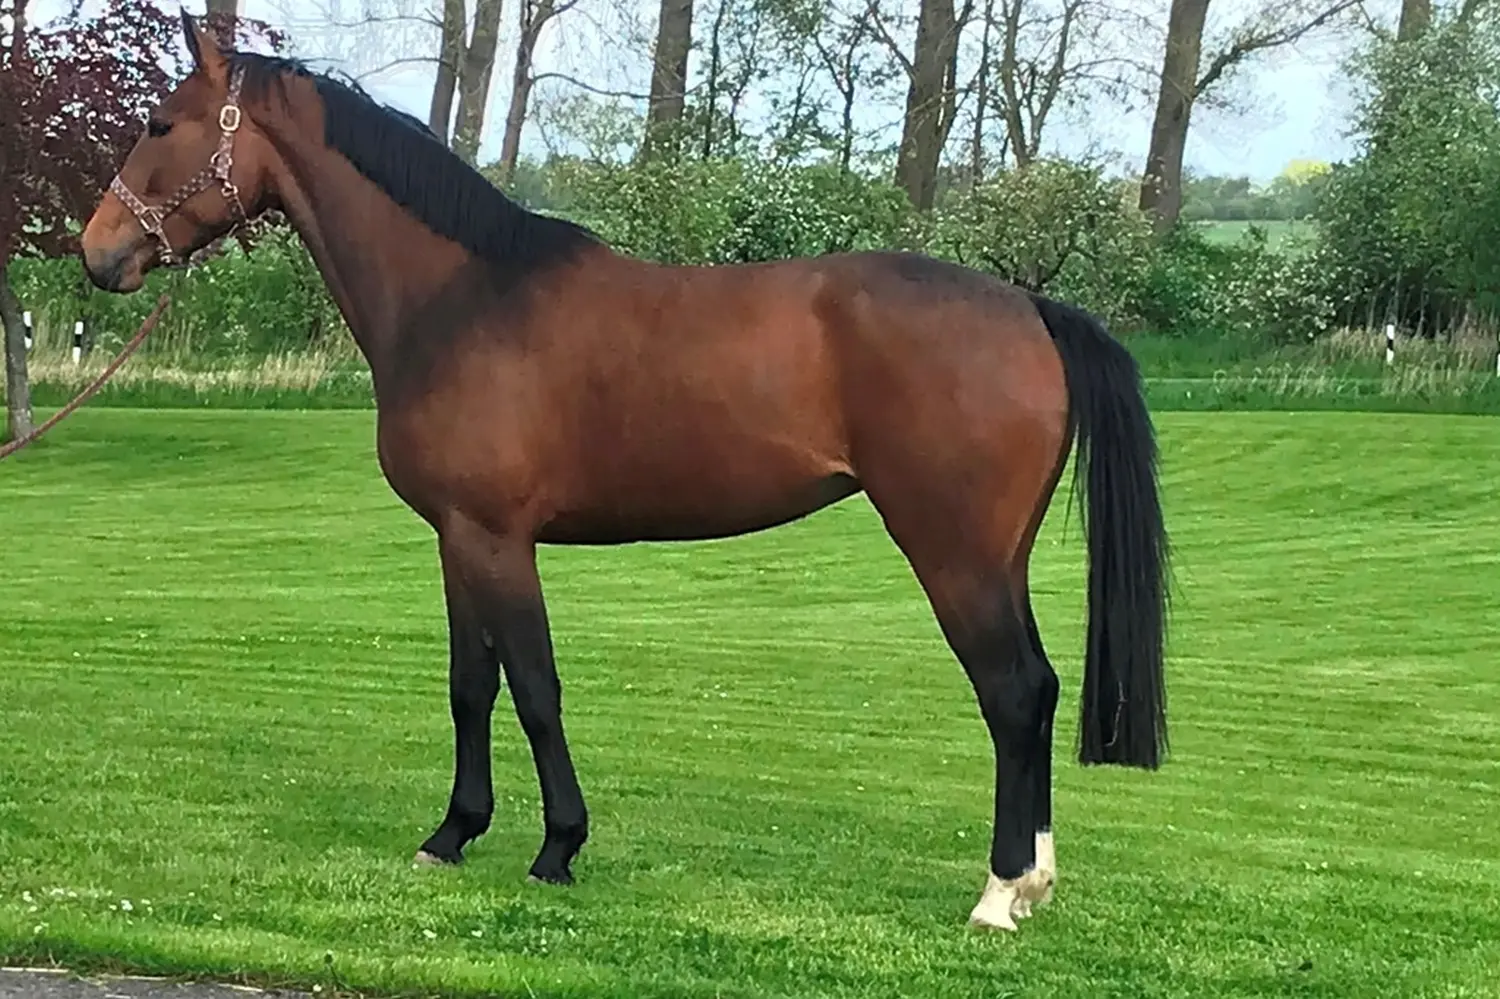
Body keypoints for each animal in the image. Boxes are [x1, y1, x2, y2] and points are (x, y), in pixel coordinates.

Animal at [79, 12, 1169, 933]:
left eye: (160, 122)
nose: (95, 255)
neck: (462, 297)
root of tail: (1031, 309)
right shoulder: (456, 538)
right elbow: (470, 687)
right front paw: (452, 834)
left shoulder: (498, 538)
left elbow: (535, 688)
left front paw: (557, 847)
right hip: (998, 557)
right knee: (1041, 690)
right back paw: (1034, 879)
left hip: (953, 554)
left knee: (1013, 693)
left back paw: (998, 894)